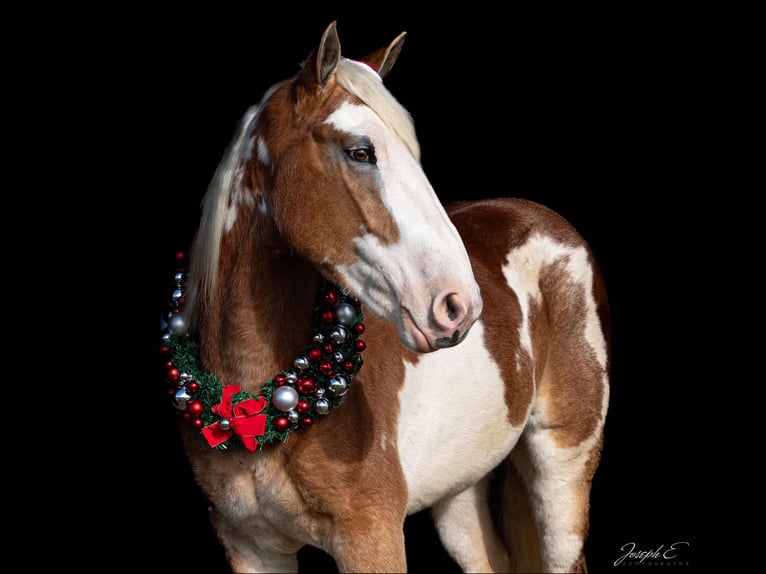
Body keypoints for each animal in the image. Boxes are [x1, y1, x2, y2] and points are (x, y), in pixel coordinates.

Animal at [160, 20, 612, 572]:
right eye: (360, 151)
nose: (458, 305)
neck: (254, 404)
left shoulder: (371, 537)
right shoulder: (251, 546)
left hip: (563, 466)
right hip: (460, 492)